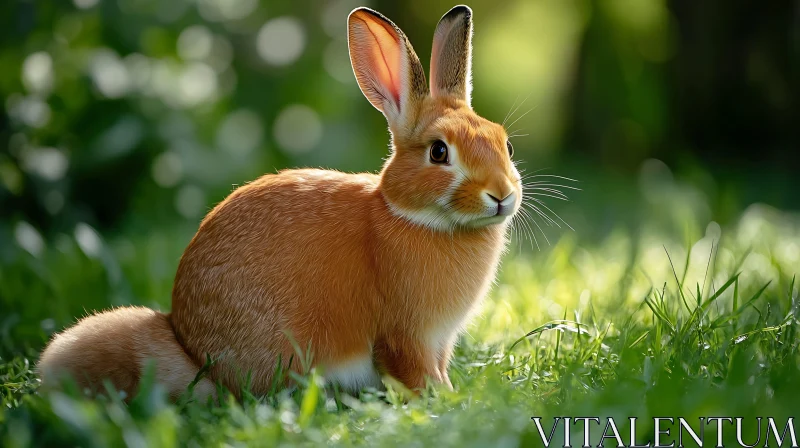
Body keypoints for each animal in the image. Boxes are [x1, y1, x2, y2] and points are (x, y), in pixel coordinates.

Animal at [39, 6, 524, 400]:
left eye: (505, 143)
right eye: (439, 152)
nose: (501, 196)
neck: (415, 216)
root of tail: (191, 349)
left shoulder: (438, 340)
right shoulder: (408, 334)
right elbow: (413, 371)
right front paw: (443, 400)